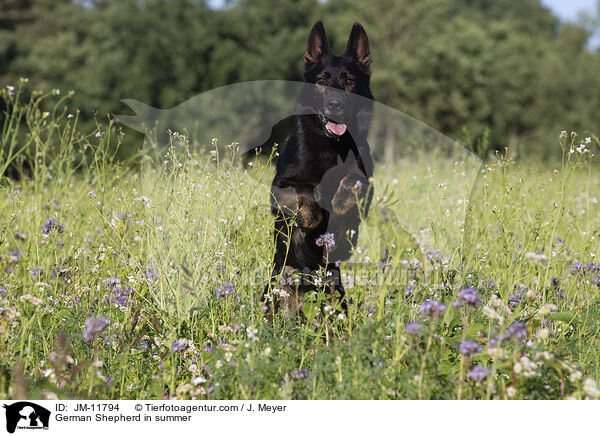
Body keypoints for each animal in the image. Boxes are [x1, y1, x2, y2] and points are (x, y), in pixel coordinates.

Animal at [268, 21, 376, 314]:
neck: (331, 146)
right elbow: (304, 190)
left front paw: (339, 201)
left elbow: (353, 178)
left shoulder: (368, 185)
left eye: (349, 81)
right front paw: (311, 216)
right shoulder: (279, 186)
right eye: (322, 81)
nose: (334, 104)